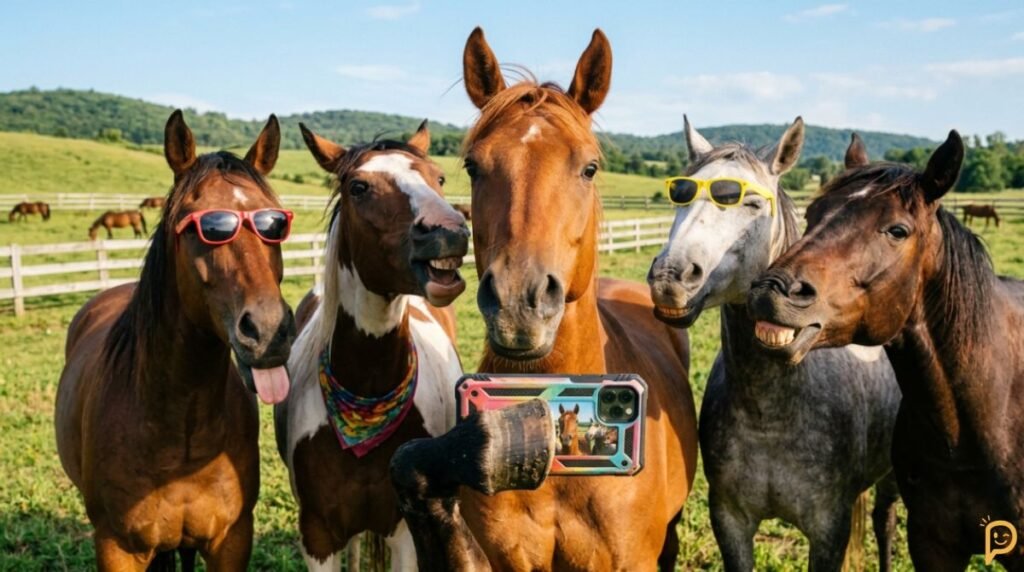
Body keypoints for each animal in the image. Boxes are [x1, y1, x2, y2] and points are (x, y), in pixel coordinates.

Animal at [274, 120, 470, 571]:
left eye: (438, 178)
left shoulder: (405, 534)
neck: (366, 394)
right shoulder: (318, 537)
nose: (449, 232)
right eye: (359, 187)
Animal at [649, 125, 902, 570]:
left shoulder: (828, 531)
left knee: (884, 521)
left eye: (750, 203)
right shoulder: (730, 520)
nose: (670, 276)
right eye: (679, 195)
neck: (769, 414)